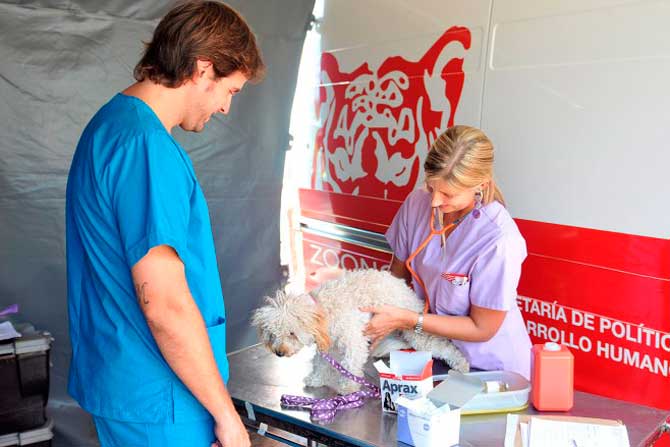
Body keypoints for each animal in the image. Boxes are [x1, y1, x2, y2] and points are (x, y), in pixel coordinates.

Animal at [249, 268, 470, 394]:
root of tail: (406, 289)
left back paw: (462, 365)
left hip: (415, 331)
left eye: (291, 333)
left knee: (442, 346)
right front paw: (316, 379)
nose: (279, 352)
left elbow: (350, 365)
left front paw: (348, 387)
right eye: (272, 334)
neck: (322, 309)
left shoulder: (353, 340)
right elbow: (320, 363)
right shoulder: (327, 346)